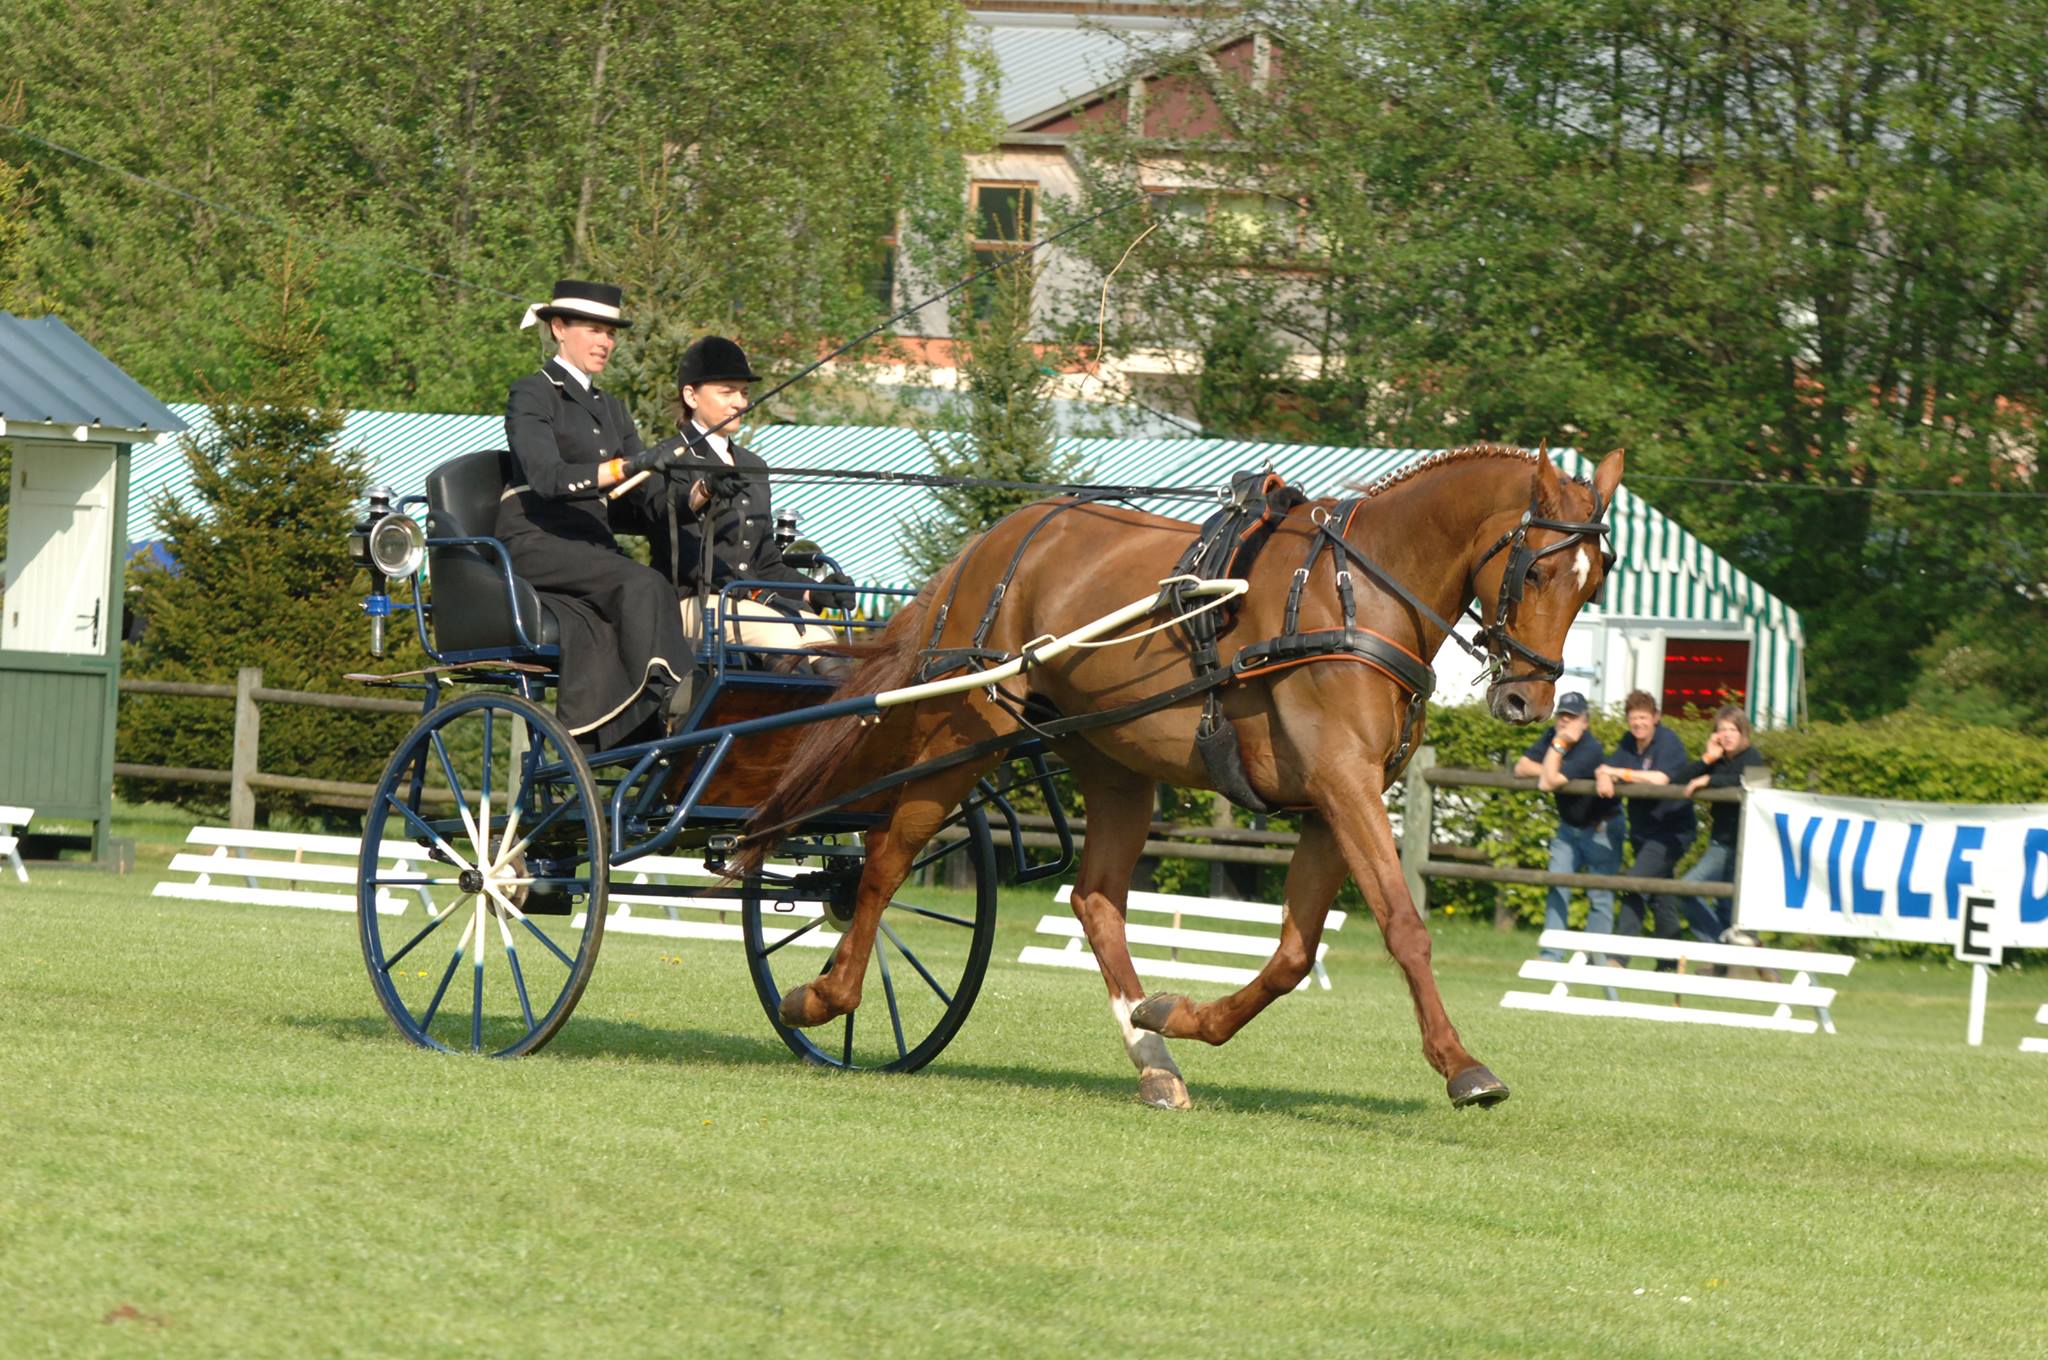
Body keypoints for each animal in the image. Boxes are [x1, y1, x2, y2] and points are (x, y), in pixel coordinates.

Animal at [745, 440, 1622, 1114]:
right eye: (1536, 572)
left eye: (1595, 580)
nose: (1527, 698)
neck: (1358, 593)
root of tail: (999, 539)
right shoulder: (1344, 787)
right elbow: (1403, 925)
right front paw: (1461, 1065)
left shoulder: (1327, 804)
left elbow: (1293, 956)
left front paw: (1176, 1014)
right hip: (968, 732)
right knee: (886, 860)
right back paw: (823, 997)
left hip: (1115, 765)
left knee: (1095, 900)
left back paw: (1153, 1060)